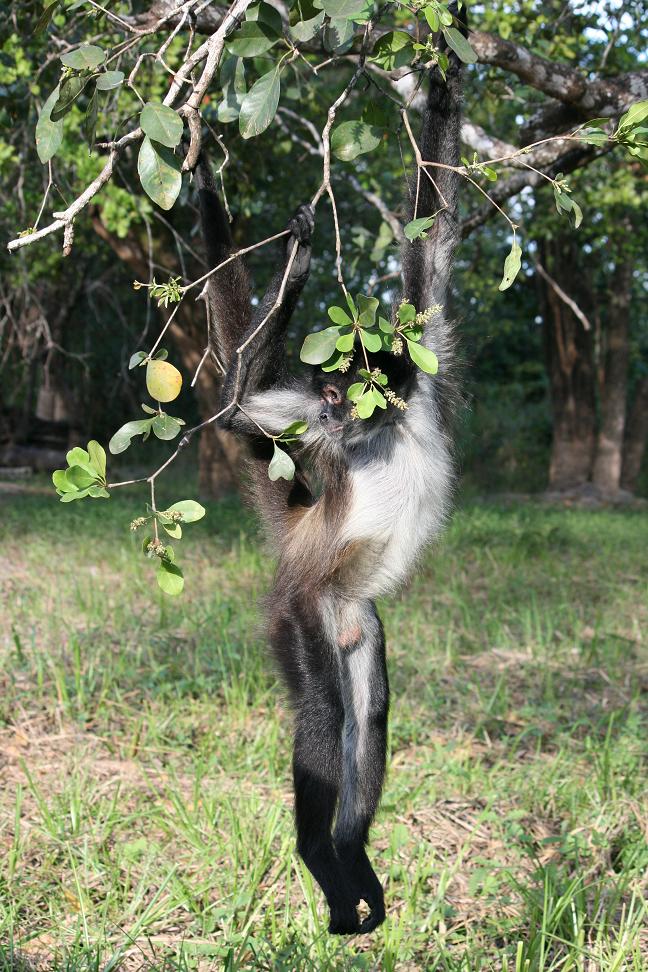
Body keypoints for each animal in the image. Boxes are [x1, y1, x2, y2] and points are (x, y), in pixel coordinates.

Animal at [195, 24, 464, 936]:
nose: (340, 413)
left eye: (357, 387)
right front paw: (302, 259)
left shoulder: (420, 360)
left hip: (357, 621)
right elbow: (236, 411)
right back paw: (320, 853)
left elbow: (433, 236)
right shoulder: (309, 420)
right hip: (301, 610)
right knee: (323, 712)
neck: (383, 427)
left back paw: (351, 851)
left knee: (367, 713)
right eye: (334, 394)